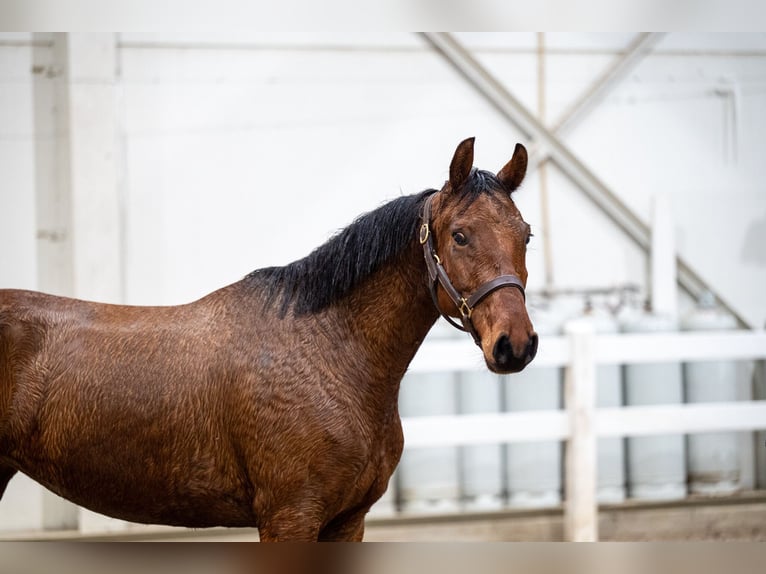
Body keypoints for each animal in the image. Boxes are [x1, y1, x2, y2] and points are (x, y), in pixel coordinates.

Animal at [0, 137, 536, 544]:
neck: (330, 352)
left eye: (526, 234)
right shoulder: (289, 518)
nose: (515, 344)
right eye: (460, 235)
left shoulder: (347, 522)